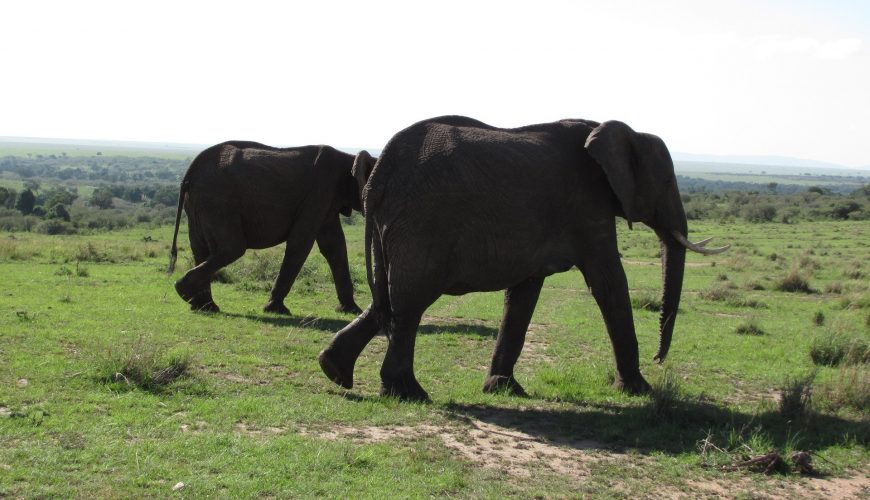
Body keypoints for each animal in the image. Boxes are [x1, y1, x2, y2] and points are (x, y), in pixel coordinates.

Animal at [168, 141, 376, 315]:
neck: (348, 158)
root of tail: (188, 174)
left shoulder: (328, 201)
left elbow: (334, 247)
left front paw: (351, 310)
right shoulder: (319, 194)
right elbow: (300, 243)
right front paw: (275, 309)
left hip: (198, 204)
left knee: (202, 249)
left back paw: (203, 306)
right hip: (217, 201)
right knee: (232, 248)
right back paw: (184, 292)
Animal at [317, 116, 728, 401]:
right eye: (669, 182)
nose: (660, 360)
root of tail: (379, 171)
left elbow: (524, 294)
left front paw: (503, 389)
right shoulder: (588, 206)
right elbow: (609, 282)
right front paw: (640, 392)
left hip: (397, 224)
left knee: (387, 299)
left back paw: (335, 370)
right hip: (422, 221)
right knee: (408, 302)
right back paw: (409, 394)